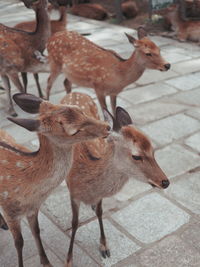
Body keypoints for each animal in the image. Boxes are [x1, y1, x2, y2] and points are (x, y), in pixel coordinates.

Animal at [0, 92, 111, 267]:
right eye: (73, 131)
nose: (107, 126)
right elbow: (19, 242)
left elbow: (36, 232)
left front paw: (47, 262)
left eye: (80, 111)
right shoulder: (9, 210)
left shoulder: (33, 209)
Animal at [59, 92, 170, 267]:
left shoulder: (98, 196)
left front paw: (104, 247)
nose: (165, 182)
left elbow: (100, 212)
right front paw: (68, 260)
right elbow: (74, 223)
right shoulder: (73, 194)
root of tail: (73, 92)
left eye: (153, 150)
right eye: (136, 156)